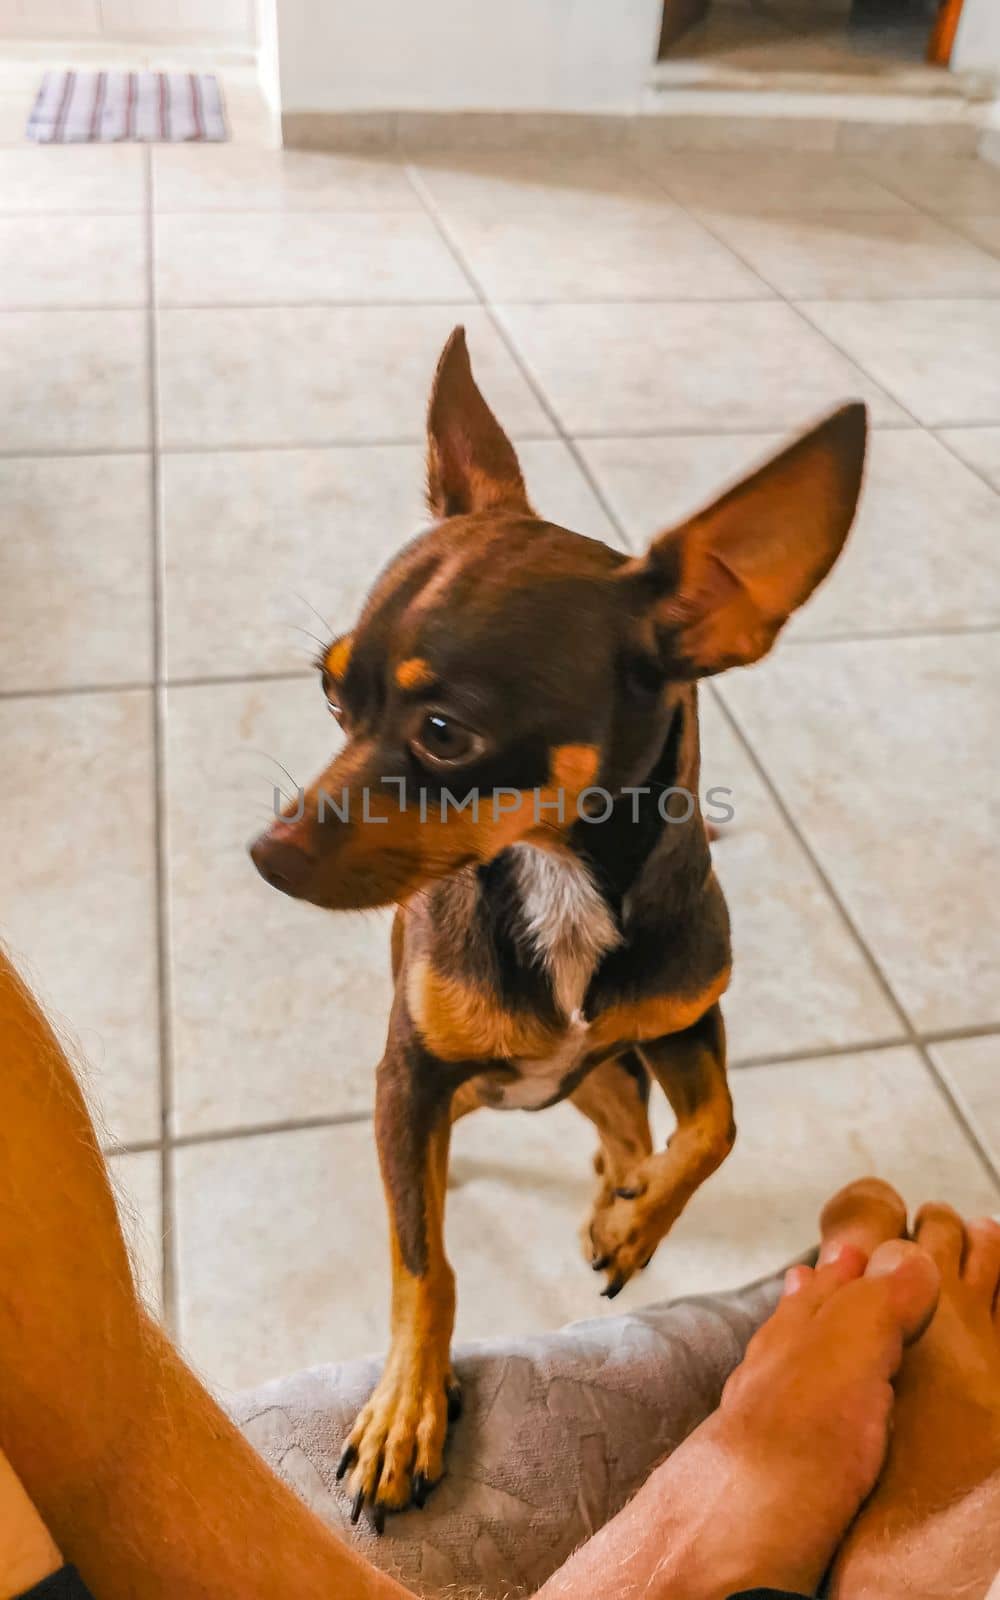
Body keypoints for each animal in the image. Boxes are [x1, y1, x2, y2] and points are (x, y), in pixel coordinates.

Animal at [251, 324, 864, 1523]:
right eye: (329, 692)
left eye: (444, 732)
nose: (267, 853)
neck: (558, 879)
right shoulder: (408, 1078)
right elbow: (423, 1259)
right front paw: (406, 1409)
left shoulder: (684, 1023)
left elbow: (716, 1128)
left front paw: (636, 1224)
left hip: (611, 1062)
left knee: (620, 1114)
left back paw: (616, 1189)